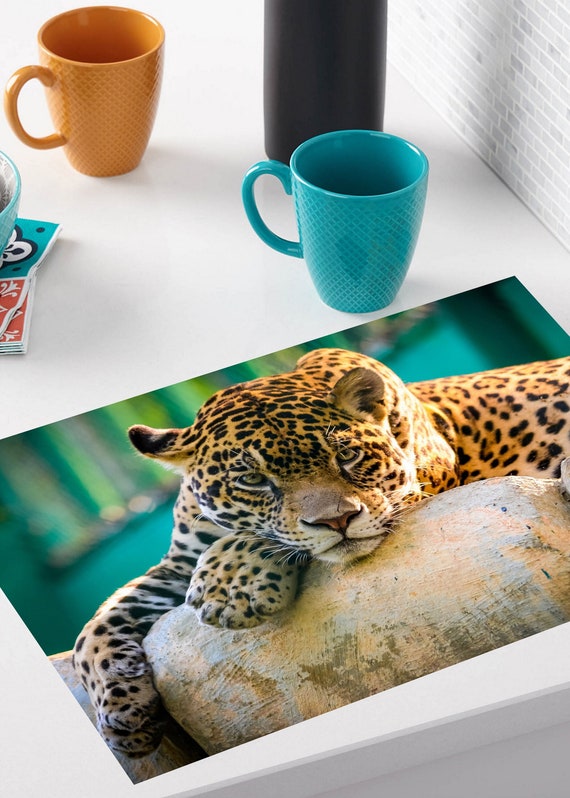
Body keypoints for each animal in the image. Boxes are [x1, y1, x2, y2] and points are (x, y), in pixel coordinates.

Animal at [71, 348, 569, 757]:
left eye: (347, 455)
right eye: (252, 480)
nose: (338, 520)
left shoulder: (423, 481)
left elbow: (272, 538)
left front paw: (229, 584)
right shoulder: (175, 566)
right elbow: (92, 630)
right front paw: (121, 713)